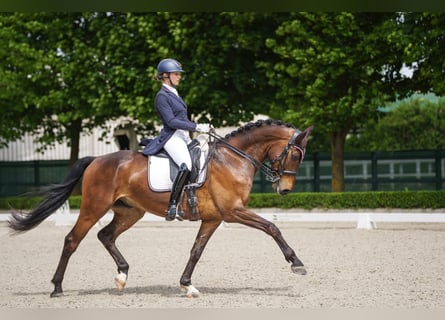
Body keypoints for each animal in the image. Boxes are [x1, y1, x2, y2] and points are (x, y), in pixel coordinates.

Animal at [7, 119, 312, 298]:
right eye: (295, 155)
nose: (285, 190)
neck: (233, 159)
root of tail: (96, 159)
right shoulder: (233, 212)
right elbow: (272, 227)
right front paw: (296, 263)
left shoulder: (214, 218)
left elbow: (196, 251)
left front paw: (187, 284)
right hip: (95, 207)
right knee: (73, 239)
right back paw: (57, 287)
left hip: (130, 211)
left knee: (105, 235)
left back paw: (122, 275)